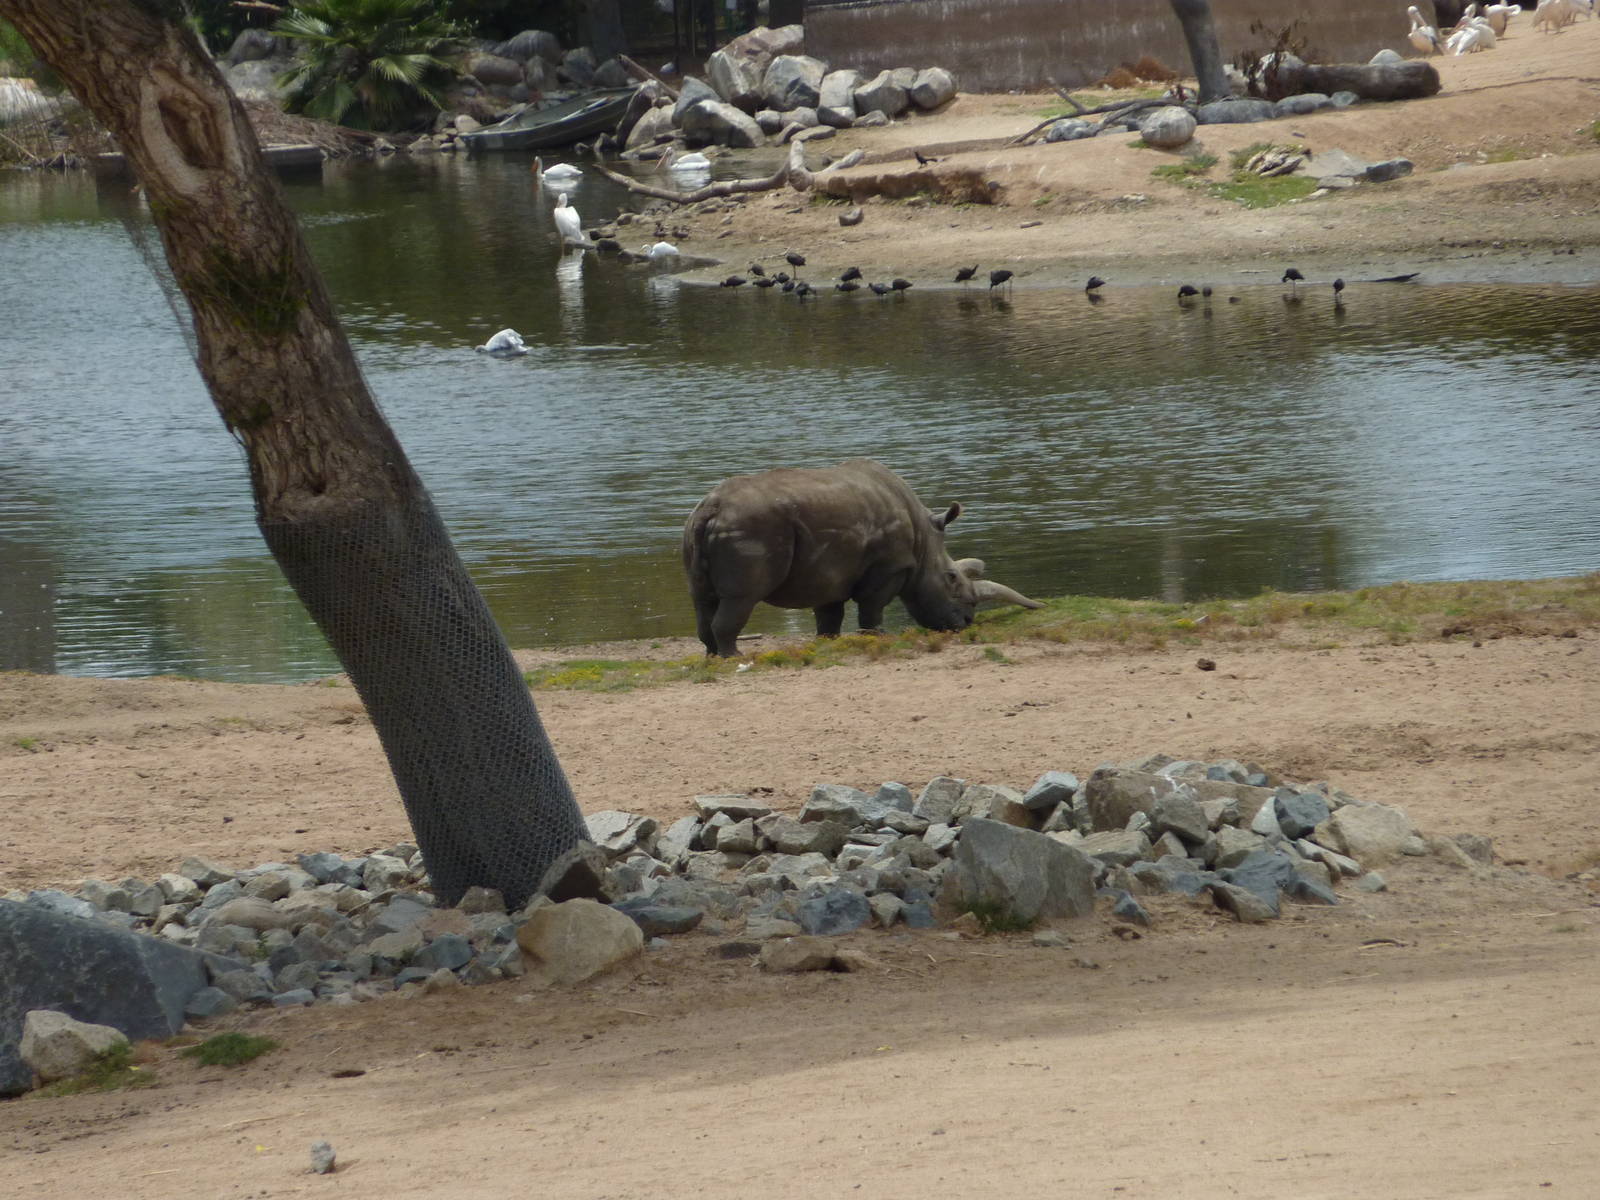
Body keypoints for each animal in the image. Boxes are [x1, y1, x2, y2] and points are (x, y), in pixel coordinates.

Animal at [682, 459, 979, 657]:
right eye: (951, 578)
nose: (966, 622)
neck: (924, 542)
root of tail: (712, 508)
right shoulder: (891, 566)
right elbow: (873, 606)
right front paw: (877, 637)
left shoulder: (827, 572)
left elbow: (829, 613)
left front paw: (828, 641)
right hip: (749, 528)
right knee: (741, 597)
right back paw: (734, 657)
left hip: (695, 526)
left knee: (702, 598)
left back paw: (713, 657)